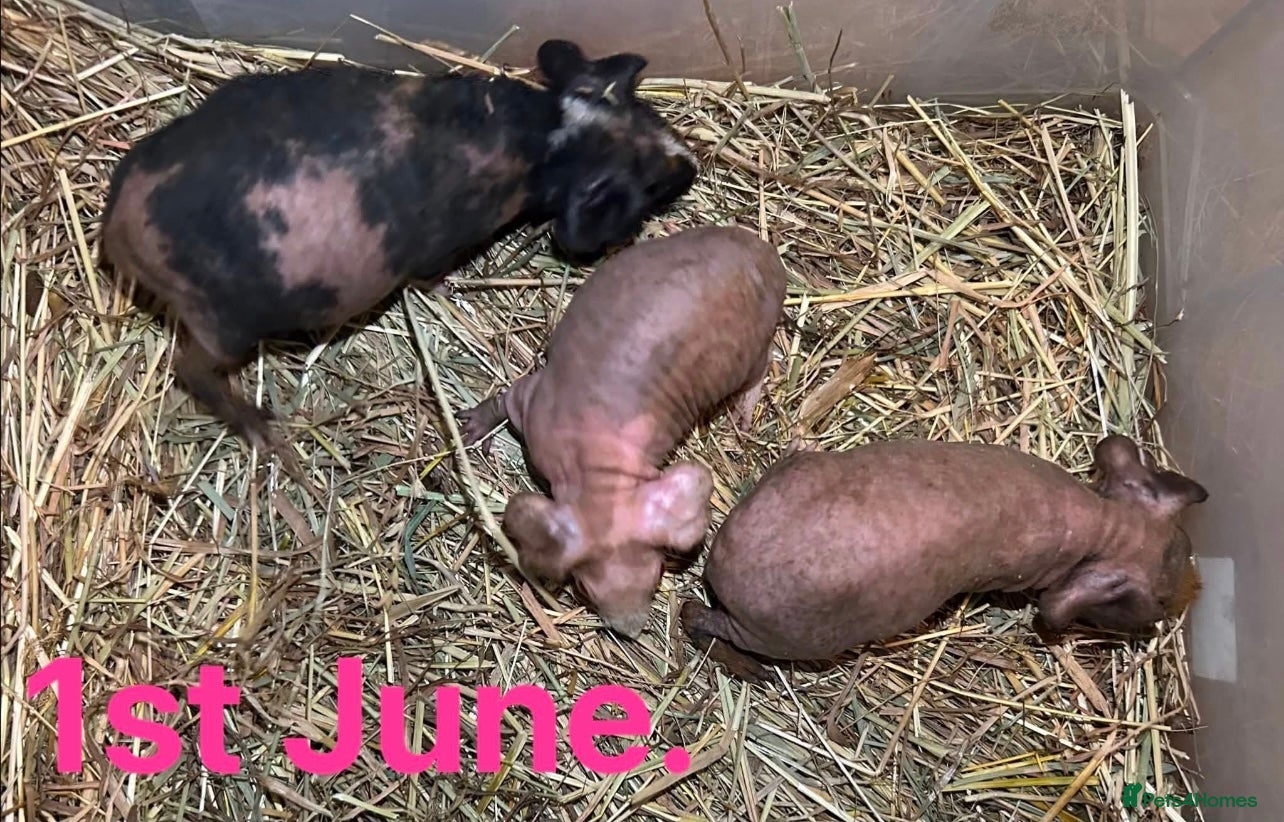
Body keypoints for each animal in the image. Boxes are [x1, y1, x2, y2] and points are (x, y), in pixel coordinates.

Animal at [98, 40, 697, 453]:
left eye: (649, 113)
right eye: (647, 184)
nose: (690, 164)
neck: (553, 137)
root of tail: (119, 227)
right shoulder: (442, 246)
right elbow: (432, 274)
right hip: (224, 325)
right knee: (187, 367)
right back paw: (266, 432)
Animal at [459, 225, 788, 638]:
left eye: (658, 574)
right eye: (585, 588)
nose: (630, 631)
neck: (599, 468)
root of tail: (768, 255)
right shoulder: (536, 409)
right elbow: (507, 399)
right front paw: (472, 426)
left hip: (751, 345)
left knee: (761, 364)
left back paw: (744, 408)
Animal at [682, 435, 1208, 680]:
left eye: (1185, 547)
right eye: (1160, 602)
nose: (1178, 605)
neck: (1103, 522)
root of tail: (719, 566)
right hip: (779, 635)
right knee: (696, 617)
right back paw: (743, 664)